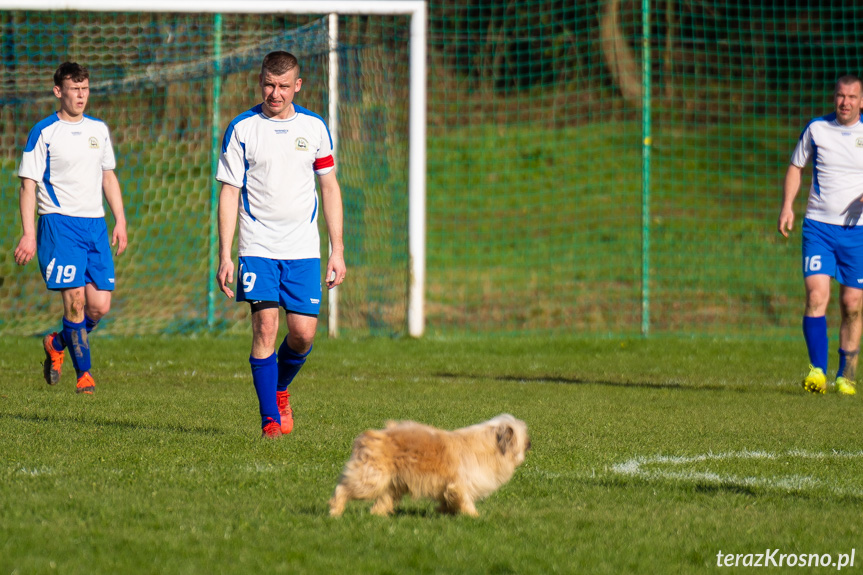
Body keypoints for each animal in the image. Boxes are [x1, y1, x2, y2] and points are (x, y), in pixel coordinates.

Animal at [330, 414, 532, 516]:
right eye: (524, 436)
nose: (530, 443)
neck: (491, 447)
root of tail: (370, 437)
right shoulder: (461, 484)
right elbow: (465, 500)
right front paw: (474, 516)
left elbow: (448, 500)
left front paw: (444, 510)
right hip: (371, 479)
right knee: (343, 489)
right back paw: (335, 511)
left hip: (391, 483)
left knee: (383, 500)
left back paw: (379, 515)